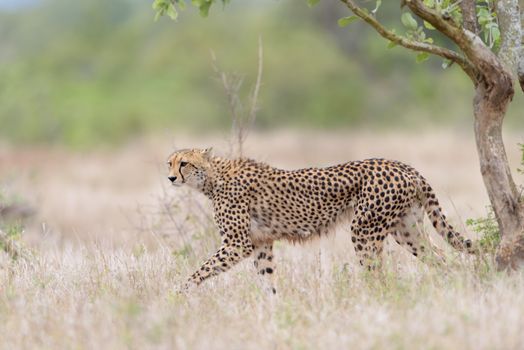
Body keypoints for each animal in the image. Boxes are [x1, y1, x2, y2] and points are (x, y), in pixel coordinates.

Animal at [167, 148, 474, 292]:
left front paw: (179, 293)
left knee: (378, 273)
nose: (170, 178)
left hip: (365, 229)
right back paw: (451, 286)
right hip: (406, 229)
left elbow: (202, 270)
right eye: (169, 162)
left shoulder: (237, 243)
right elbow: (267, 279)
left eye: (184, 163)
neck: (212, 177)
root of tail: (403, 165)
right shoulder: (261, 243)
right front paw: (274, 309)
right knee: (440, 257)